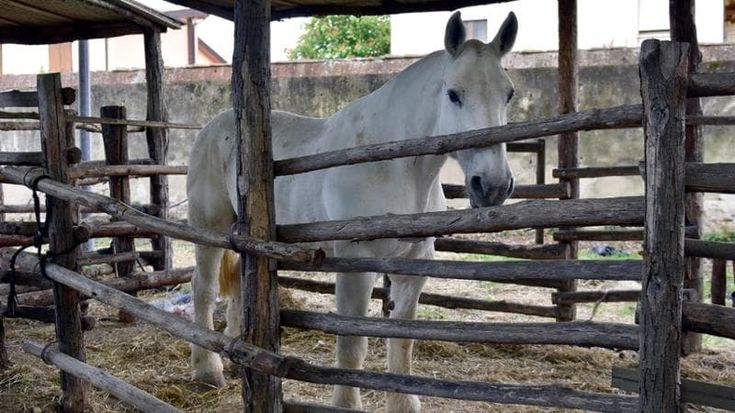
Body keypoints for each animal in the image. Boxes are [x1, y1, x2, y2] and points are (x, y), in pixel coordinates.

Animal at [186, 11, 518, 412]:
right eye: (454, 94)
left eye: (508, 94)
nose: (493, 185)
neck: (394, 167)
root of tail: (212, 128)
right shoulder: (355, 266)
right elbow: (351, 344)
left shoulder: (412, 268)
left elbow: (402, 342)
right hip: (210, 228)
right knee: (203, 289)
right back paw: (207, 371)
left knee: (237, 289)